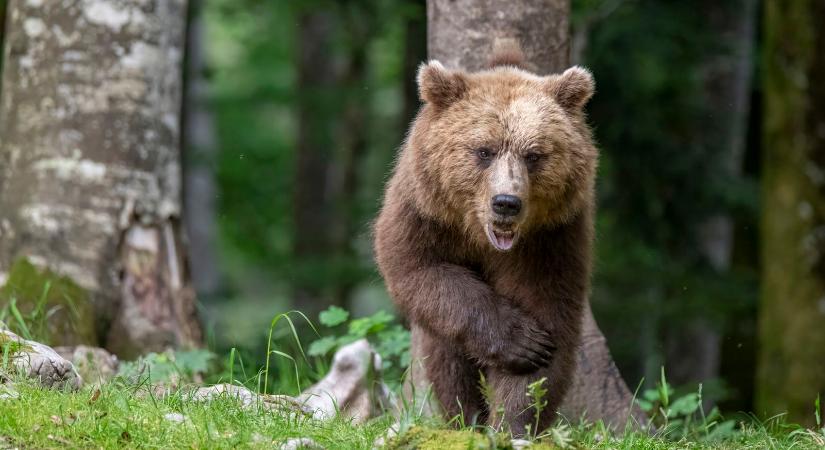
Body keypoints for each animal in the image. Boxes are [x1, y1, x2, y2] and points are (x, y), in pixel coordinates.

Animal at [372, 50, 592, 436]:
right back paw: (464, 416)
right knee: (444, 352)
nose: (506, 202)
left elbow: (548, 315)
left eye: (533, 155)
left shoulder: (549, 242)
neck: (479, 237)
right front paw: (523, 342)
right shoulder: (425, 214)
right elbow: (417, 268)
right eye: (484, 150)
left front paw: (515, 420)